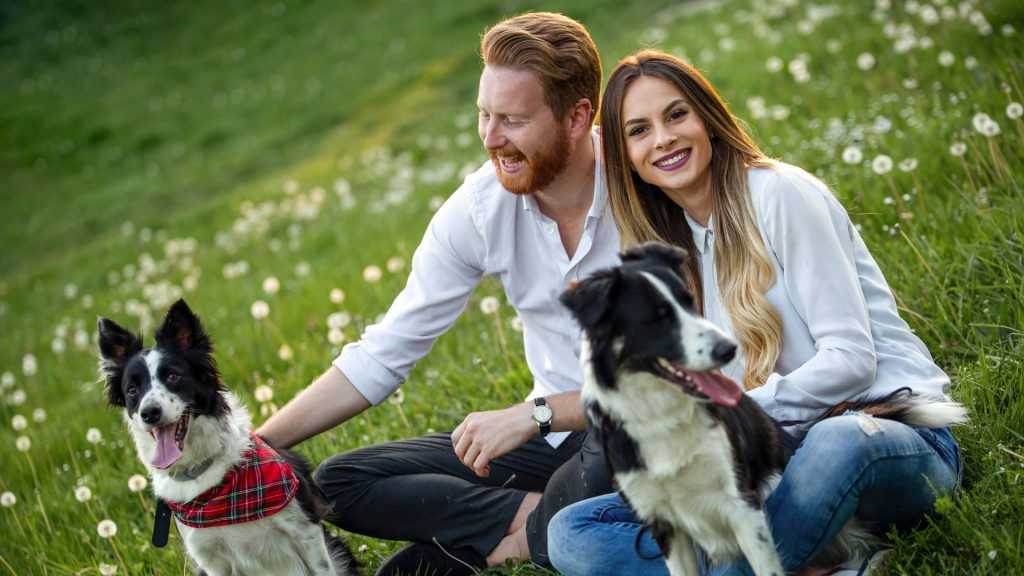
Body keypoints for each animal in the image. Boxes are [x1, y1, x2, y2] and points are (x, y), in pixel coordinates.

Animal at [561, 241, 966, 573]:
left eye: (689, 302)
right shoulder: (663, 523)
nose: (728, 349)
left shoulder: (742, 504)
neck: (663, 414)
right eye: (657, 318)